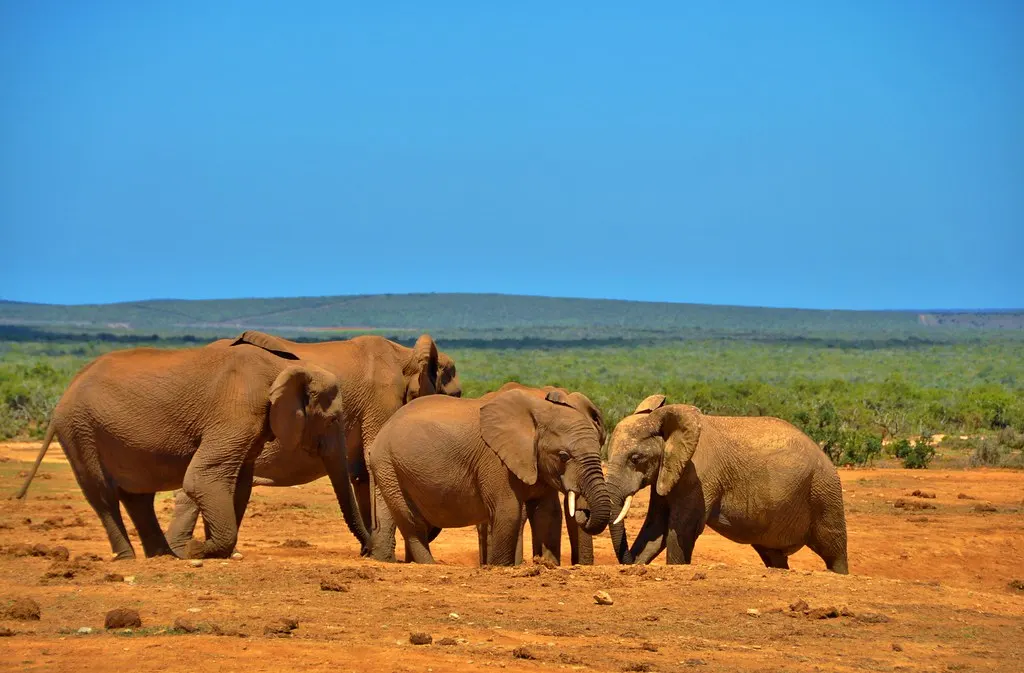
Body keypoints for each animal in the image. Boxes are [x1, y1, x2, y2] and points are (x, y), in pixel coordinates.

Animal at [15, 332, 367, 560]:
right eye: (333, 419)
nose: (366, 553)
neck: (284, 366)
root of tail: (67, 388)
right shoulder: (235, 410)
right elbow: (203, 478)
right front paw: (201, 550)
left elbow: (238, 482)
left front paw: (214, 550)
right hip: (79, 430)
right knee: (103, 495)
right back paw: (129, 557)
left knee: (137, 496)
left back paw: (163, 556)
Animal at [163, 330, 460, 555]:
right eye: (457, 394)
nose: (366, 548)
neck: (405, 356)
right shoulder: (381, 401)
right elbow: (372, 467)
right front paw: (382, 556)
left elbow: (363, 476)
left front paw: (374, 552)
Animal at [606, 394, 848, 573]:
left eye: (635, 459)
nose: (627, 561)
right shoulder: (667, 473)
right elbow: (656, 529)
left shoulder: (698, 477)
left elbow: (680, 530)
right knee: (773, 555)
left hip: (824, 490)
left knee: (833, 549)